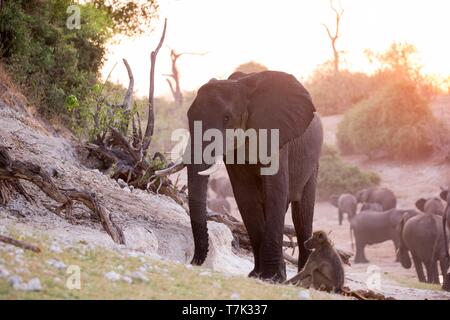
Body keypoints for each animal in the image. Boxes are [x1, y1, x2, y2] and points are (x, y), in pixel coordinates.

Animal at [182, 71, 320, 282]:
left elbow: (275, 193)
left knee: (302, 214)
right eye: (189, 116)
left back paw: (304, 280)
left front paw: (272, 278)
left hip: (313, 163)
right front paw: (257, 275)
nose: (194, 262)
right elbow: (245, 197)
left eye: (227, 118)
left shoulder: (276, 138)